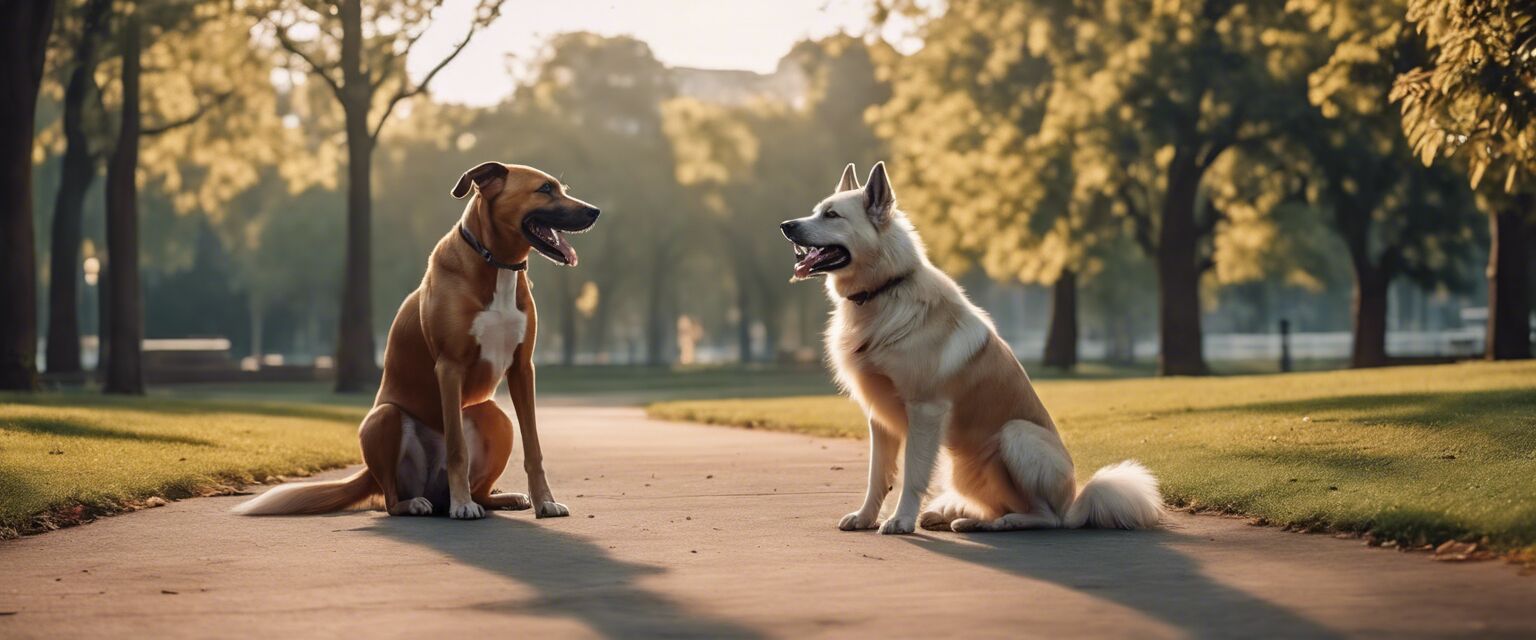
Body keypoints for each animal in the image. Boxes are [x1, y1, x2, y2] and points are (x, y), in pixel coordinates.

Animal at [233, 163, 599, 518]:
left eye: (561, 187)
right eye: (545, 189)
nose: (595, 211)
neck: (496, 265)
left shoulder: (523, 369)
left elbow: (534, 448)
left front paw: (545, 502)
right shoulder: (449, 367)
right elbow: (457, 448)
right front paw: (463, 505)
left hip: (497, 418)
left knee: (478, 483)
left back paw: (498, 498)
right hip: (385, 418)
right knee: (390, 499)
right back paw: (425, 503)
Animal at [780, 161, 1161, 531]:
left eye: (832, 215)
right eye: (816, 211)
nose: (785, 225)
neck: (885, 289)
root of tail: (1075, 503)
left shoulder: (925, 410)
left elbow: (913, 475)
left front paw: (900, 520)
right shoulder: (879, 418)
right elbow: (878, 475)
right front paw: (865, 517)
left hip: (1016, 435)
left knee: (1045, 516)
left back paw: (998, 523)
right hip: (962, 468)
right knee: (1003, 506)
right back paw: (959, 517)